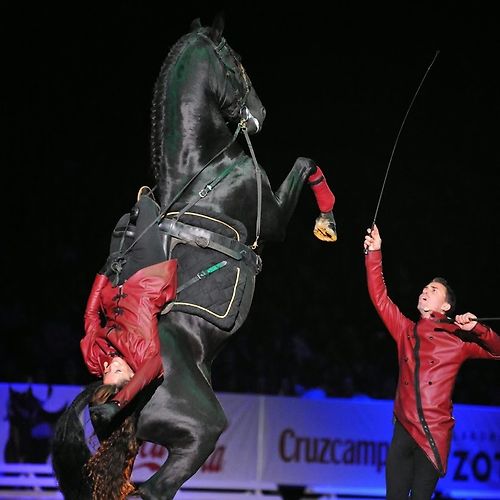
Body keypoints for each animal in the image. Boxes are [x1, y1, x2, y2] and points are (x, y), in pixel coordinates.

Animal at [50, 15, 336, 500]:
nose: (259, 113)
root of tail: (108, 391)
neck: (204, 168)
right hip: (199, 433)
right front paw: (328, 219)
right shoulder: (273, 219)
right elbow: (305, 160)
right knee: (153, 490)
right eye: (236, 63)